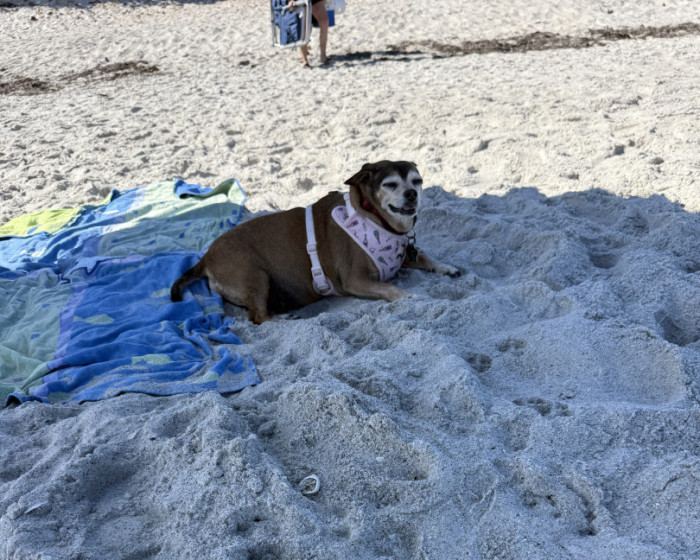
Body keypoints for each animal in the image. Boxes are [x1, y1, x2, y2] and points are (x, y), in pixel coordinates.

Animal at [171, 161, 460, 324]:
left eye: (417, 181)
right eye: (390, 184)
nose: (412, 194)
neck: (376, 218)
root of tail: (206, 258)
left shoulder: (402, 258)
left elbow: (425, 257)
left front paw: (446, 267)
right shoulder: (355, 280)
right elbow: (389, 288)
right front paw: (408, 295)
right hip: (255, 276)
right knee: (258, 318)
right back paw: (284, 321)